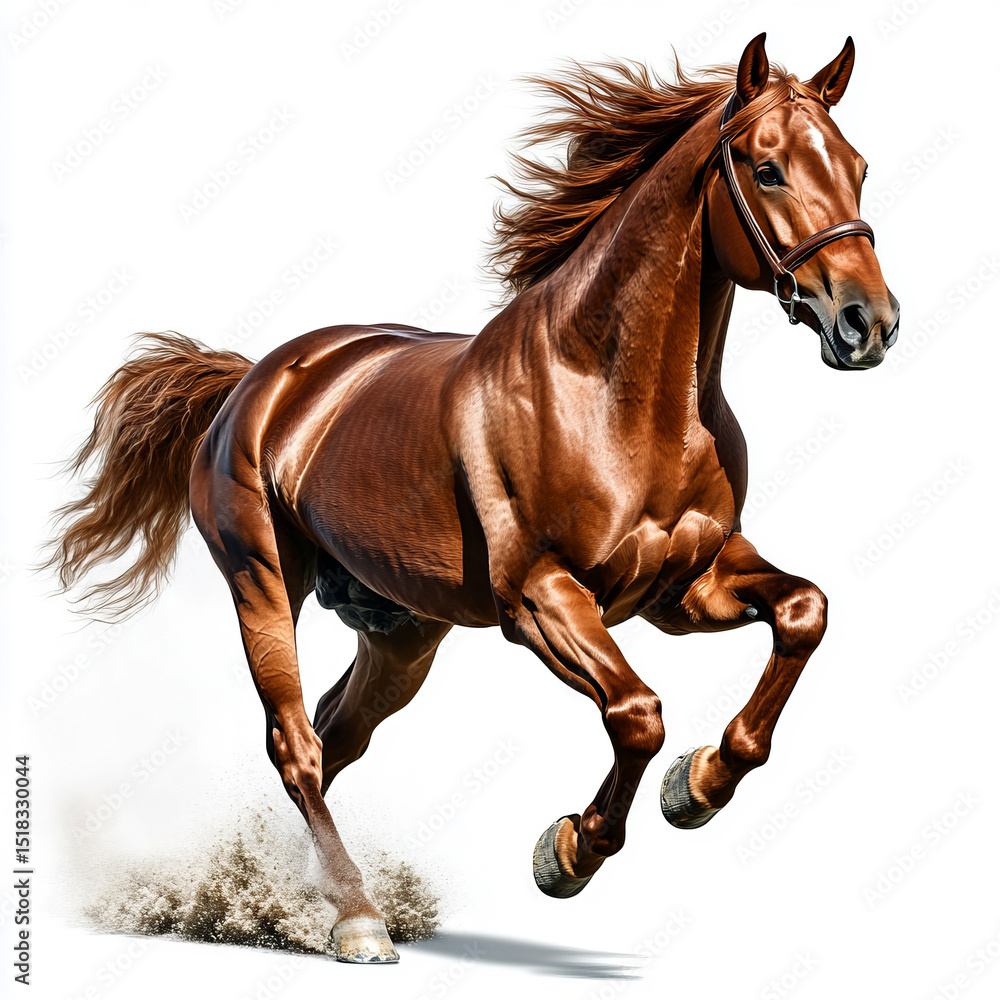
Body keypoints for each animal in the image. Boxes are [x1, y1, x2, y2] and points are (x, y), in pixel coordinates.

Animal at [47, 33, 898, 963]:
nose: (869, 323)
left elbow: (804, 613)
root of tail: (256, 380)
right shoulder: (542, 598)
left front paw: (699, 784)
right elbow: (638, 713)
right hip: (263, 584)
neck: (616, 396)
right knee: (296, 745)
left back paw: (290, 897)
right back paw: (356, 920)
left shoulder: (686, 587)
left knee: (334, 736)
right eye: (767, 167)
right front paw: (570, 852)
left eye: (857, 166)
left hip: (404, 633)